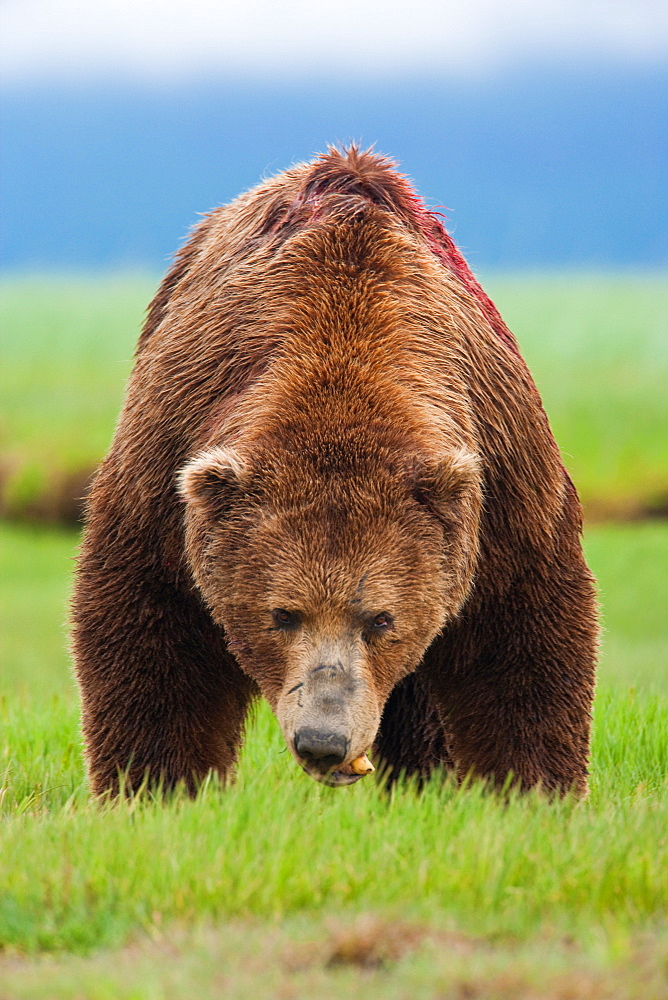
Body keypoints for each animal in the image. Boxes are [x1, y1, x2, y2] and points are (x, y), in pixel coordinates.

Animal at [73, 146, 600, 796]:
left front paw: (531, 789)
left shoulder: (501, 484)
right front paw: (153, 785)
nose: (324, 741)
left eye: (379, 618)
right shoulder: (172, 459)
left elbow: (521, 638)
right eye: (282, 613)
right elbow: (152, 634)